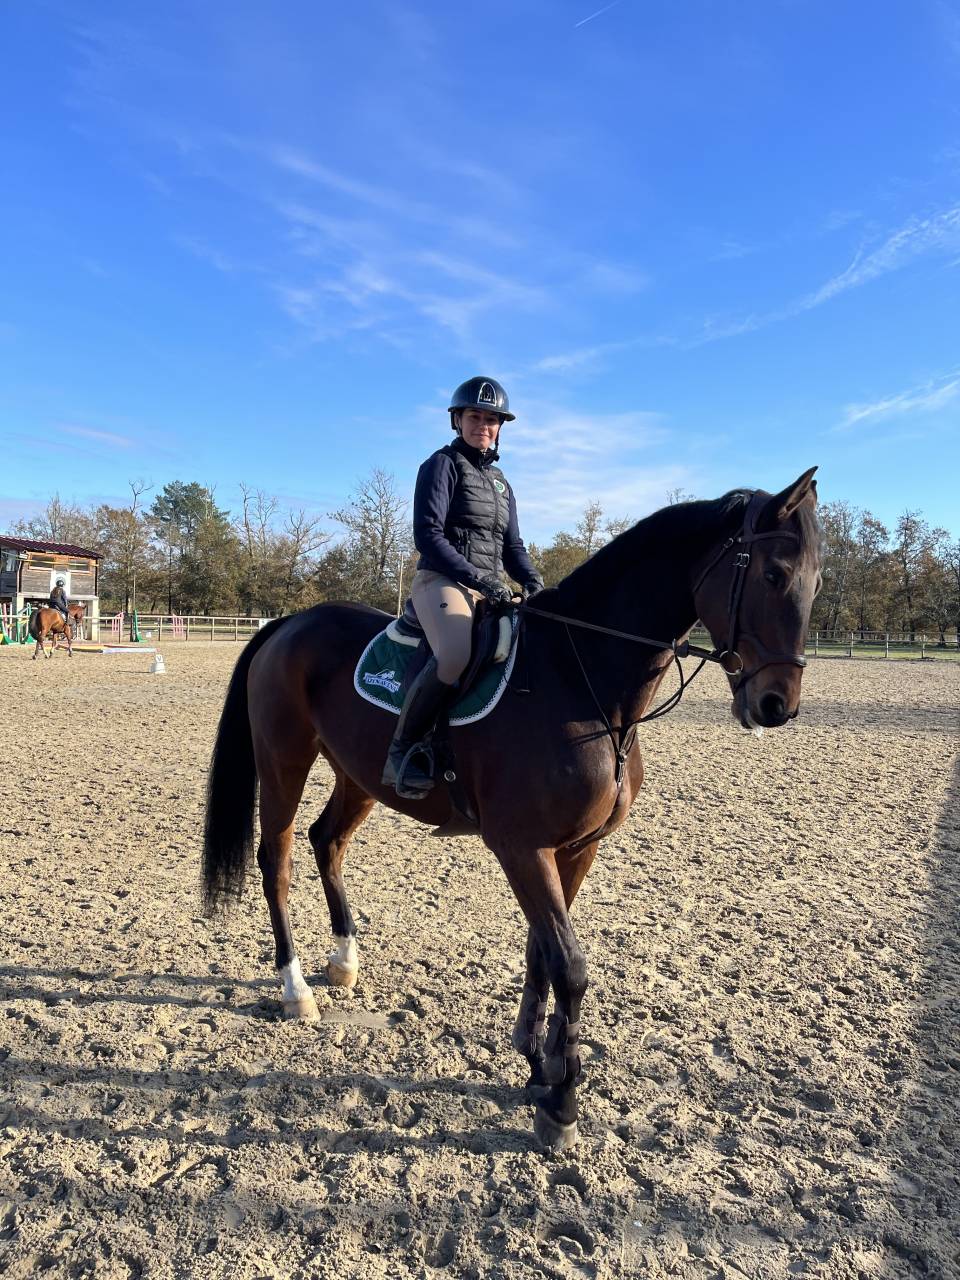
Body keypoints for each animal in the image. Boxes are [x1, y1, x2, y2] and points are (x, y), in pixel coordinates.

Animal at [203, 469, 821, 1149]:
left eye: (815, 581)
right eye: (773, 575)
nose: (777, 705)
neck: (583, 680)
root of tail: (291, 622)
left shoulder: (575, 848)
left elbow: (541, 952)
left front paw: (535, 1061)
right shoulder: (522, 848)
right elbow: (569, 966)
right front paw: (562, 1104)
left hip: (357, 776)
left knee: (327, 841)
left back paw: (343, 962)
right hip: (283, 760)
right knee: (278, 860)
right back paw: (295, 991)